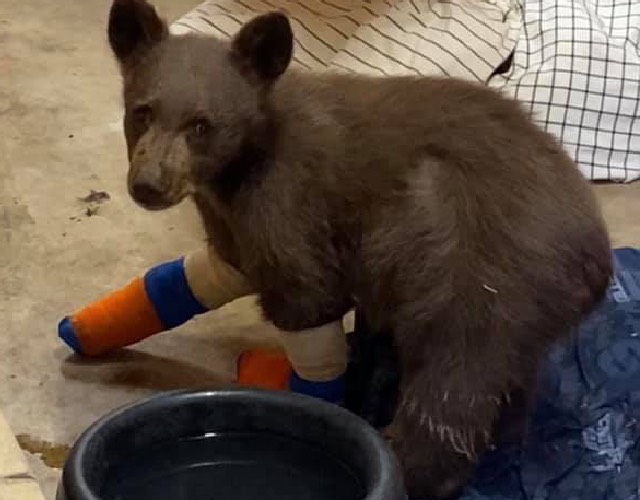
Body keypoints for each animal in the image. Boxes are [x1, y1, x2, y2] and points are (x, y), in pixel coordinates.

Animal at [107, 1, 612, 497]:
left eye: (201, 125)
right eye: (141, 112)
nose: (149, 185)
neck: (239, 167)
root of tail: (596, 261)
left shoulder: (288, 206)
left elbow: (306, 300)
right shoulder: (235, 226)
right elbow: (210, 273)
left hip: (470, 262)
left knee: (452, 384)